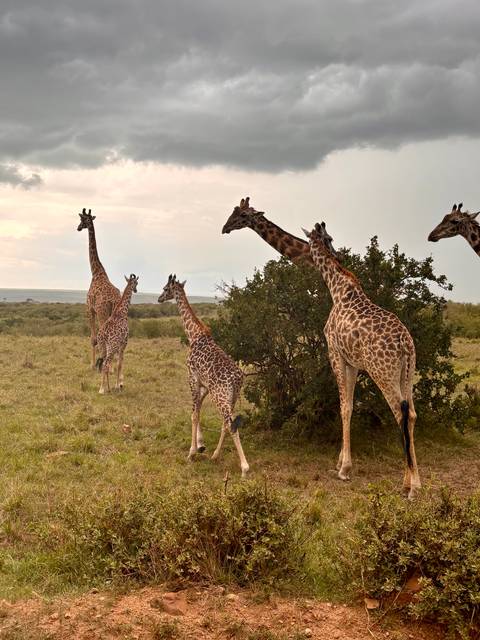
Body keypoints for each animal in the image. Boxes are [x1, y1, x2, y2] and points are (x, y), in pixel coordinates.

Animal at [77, 208, 121, 368]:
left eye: (82, 219)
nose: (78, 227)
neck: (96, 272)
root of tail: (113, 301)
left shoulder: (90, 309)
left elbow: (93, 339)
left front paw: (91, 365)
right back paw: (113, 366)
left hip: (103, 314)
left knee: (104, 336)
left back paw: (105, 365)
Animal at [158, 274, 249, 477]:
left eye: (165, 288)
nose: (159, 298)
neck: (193, 334)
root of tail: (238, 379)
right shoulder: (204, 384)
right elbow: (197, 410)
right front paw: (200, 445)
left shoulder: (192, 378)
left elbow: (194, 414)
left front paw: (192, 452)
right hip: (231, 397)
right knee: (227, 423)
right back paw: (215, 455)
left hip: (220, 396)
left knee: (230, 424)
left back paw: (244, 468)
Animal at [303, 222, 421, 499]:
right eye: (330, 237)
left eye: (320, 237)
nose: (336, 254)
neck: (336, 289)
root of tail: (405, 343)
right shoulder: (354, 363)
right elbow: (350, 405)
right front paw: (341, 463)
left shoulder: (335, 353)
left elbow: (344, 406)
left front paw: (344, 469)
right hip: (407, 373)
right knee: (411, 414)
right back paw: (414, 482)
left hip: (383, 373)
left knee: (399, 414)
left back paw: (410, 487)